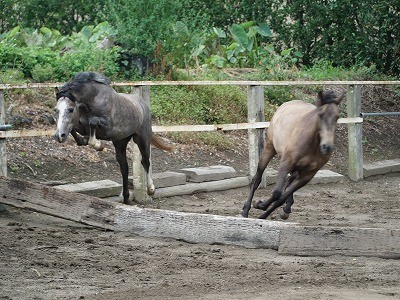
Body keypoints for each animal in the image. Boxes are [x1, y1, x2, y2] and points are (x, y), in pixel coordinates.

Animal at [54, 71, 173, 205]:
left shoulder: (107, 126)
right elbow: (74, 130)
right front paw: (86, 141)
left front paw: (98, 145)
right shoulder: (81, 127)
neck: (93, 100)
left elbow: (93, 122)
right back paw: (125, 197)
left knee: (145, 161)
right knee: (124, 167)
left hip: (142, 139)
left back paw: (151, 190)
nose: (59, 136)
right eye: (56, 110)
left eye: (70, 109)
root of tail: (143, 104)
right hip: (120, 142)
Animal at [241, 90, 344, 219]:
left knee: (289, 182)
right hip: (270, 148)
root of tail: (287, 103)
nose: (327, 147)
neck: (313, 144)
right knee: (256, 179)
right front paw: (260, 205)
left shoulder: (307, 175)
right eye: (320, 115)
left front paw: (263, 214)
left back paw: (286, 208)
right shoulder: (286, 163)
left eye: (337, 117)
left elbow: (281, 198)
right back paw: (245, 210)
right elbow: (277, 193)